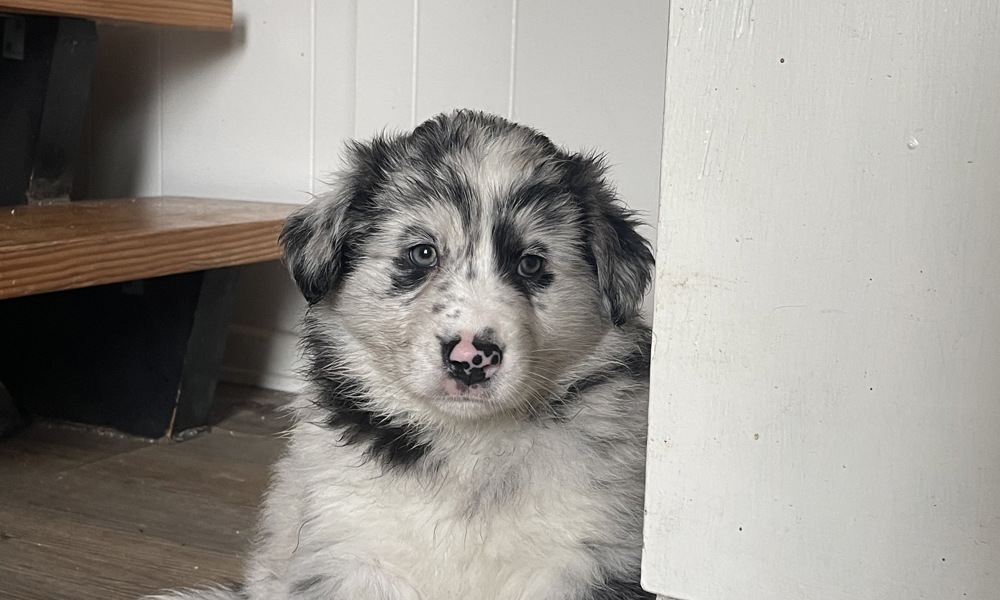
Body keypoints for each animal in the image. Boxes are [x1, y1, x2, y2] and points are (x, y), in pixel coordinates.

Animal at [148, 110, 656, 596]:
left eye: (530, 263)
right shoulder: (351, 551)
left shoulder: (585, 557)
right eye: (422, 253)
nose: (471, 358)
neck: (467, 444)